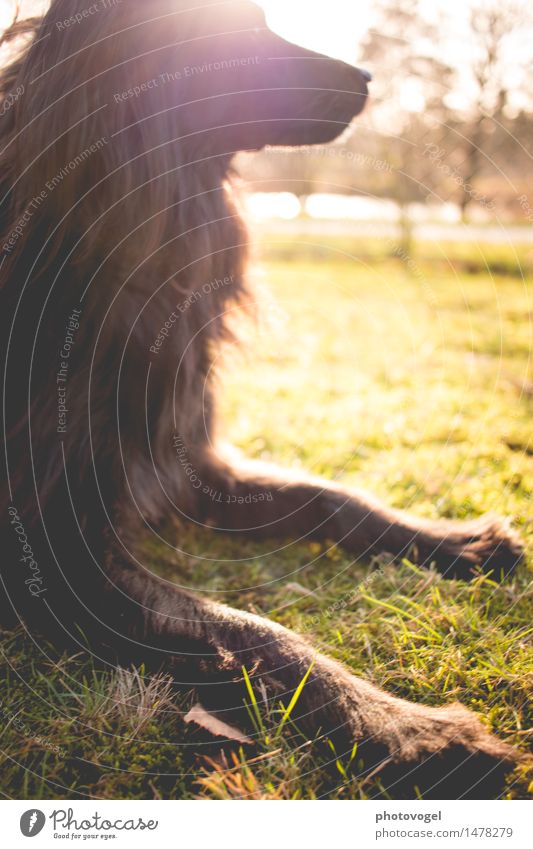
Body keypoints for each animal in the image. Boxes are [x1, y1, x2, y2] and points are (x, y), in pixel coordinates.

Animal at [0, 0, 524, 800]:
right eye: (239, 32)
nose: (367, 76)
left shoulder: (186, 463)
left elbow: (329, 495)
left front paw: (452, 539)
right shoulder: (51, 545)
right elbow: (254, 629)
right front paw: (413, 731)